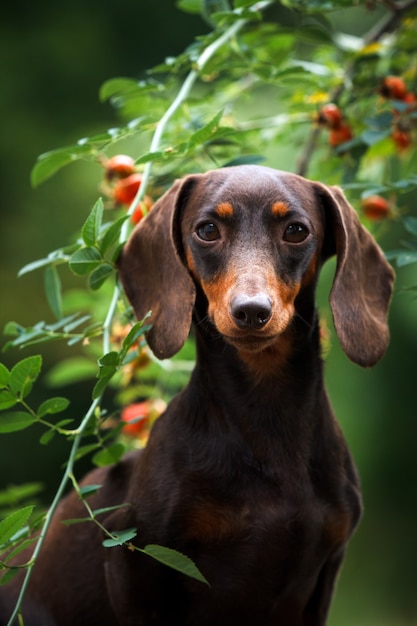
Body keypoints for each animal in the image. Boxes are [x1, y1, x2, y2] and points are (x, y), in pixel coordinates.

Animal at [0, 166, 394, 624]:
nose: (251, 311)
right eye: (207, 229)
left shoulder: (323, 574)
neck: (267, 423)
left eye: (296, 231)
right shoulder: (136, 562)